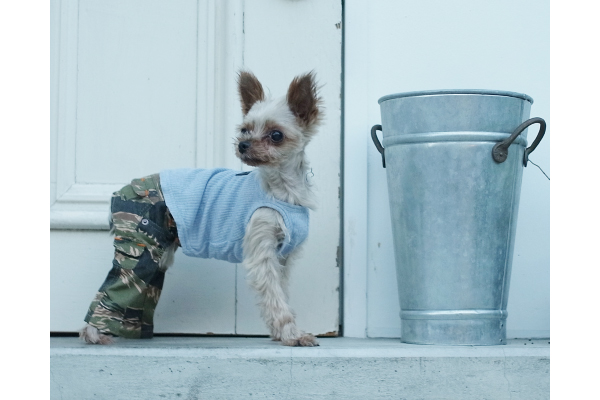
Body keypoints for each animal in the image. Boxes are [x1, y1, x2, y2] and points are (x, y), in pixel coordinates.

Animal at [81, 72, 324, 346]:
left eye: (276, 135)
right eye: (244, 130)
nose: (243, 144)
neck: (282, 190)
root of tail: (121, 190)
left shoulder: (282, 258)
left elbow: (279, 295)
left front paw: (280, 333)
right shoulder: (263, 252)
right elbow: (275, 299)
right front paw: (293, 335)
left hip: (155, 250)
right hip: (141, 246)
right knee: (113, 290)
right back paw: (94, 334)